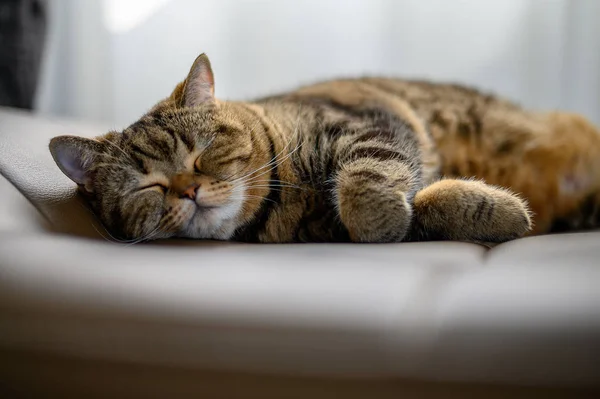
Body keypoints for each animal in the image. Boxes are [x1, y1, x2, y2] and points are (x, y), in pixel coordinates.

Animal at [48, 53, 600, 244]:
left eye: (199, 153)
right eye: (149, 186)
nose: (188, 191)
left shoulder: (369, 124)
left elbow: (363, 184)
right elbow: (403, 214)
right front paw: (493, 211)